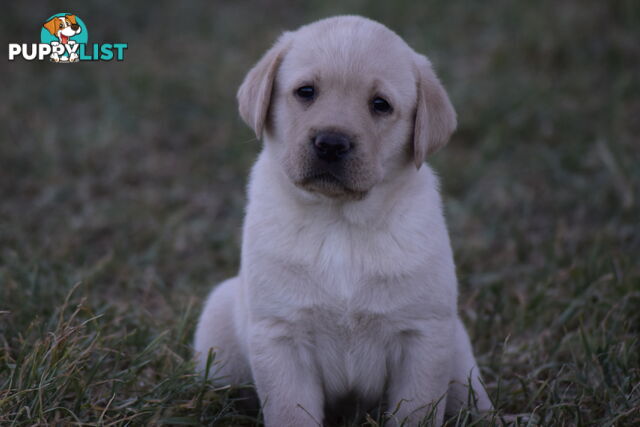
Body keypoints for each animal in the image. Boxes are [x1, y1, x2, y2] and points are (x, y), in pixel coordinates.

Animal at [192, 15, 492, 426]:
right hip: (219, 328)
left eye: (380, 105)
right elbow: (290, 413)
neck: (339, 223)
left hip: (459, 351)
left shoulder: (423, 336)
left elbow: (415, 410)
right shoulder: (280, 335)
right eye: (306, 92)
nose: (331, 143)